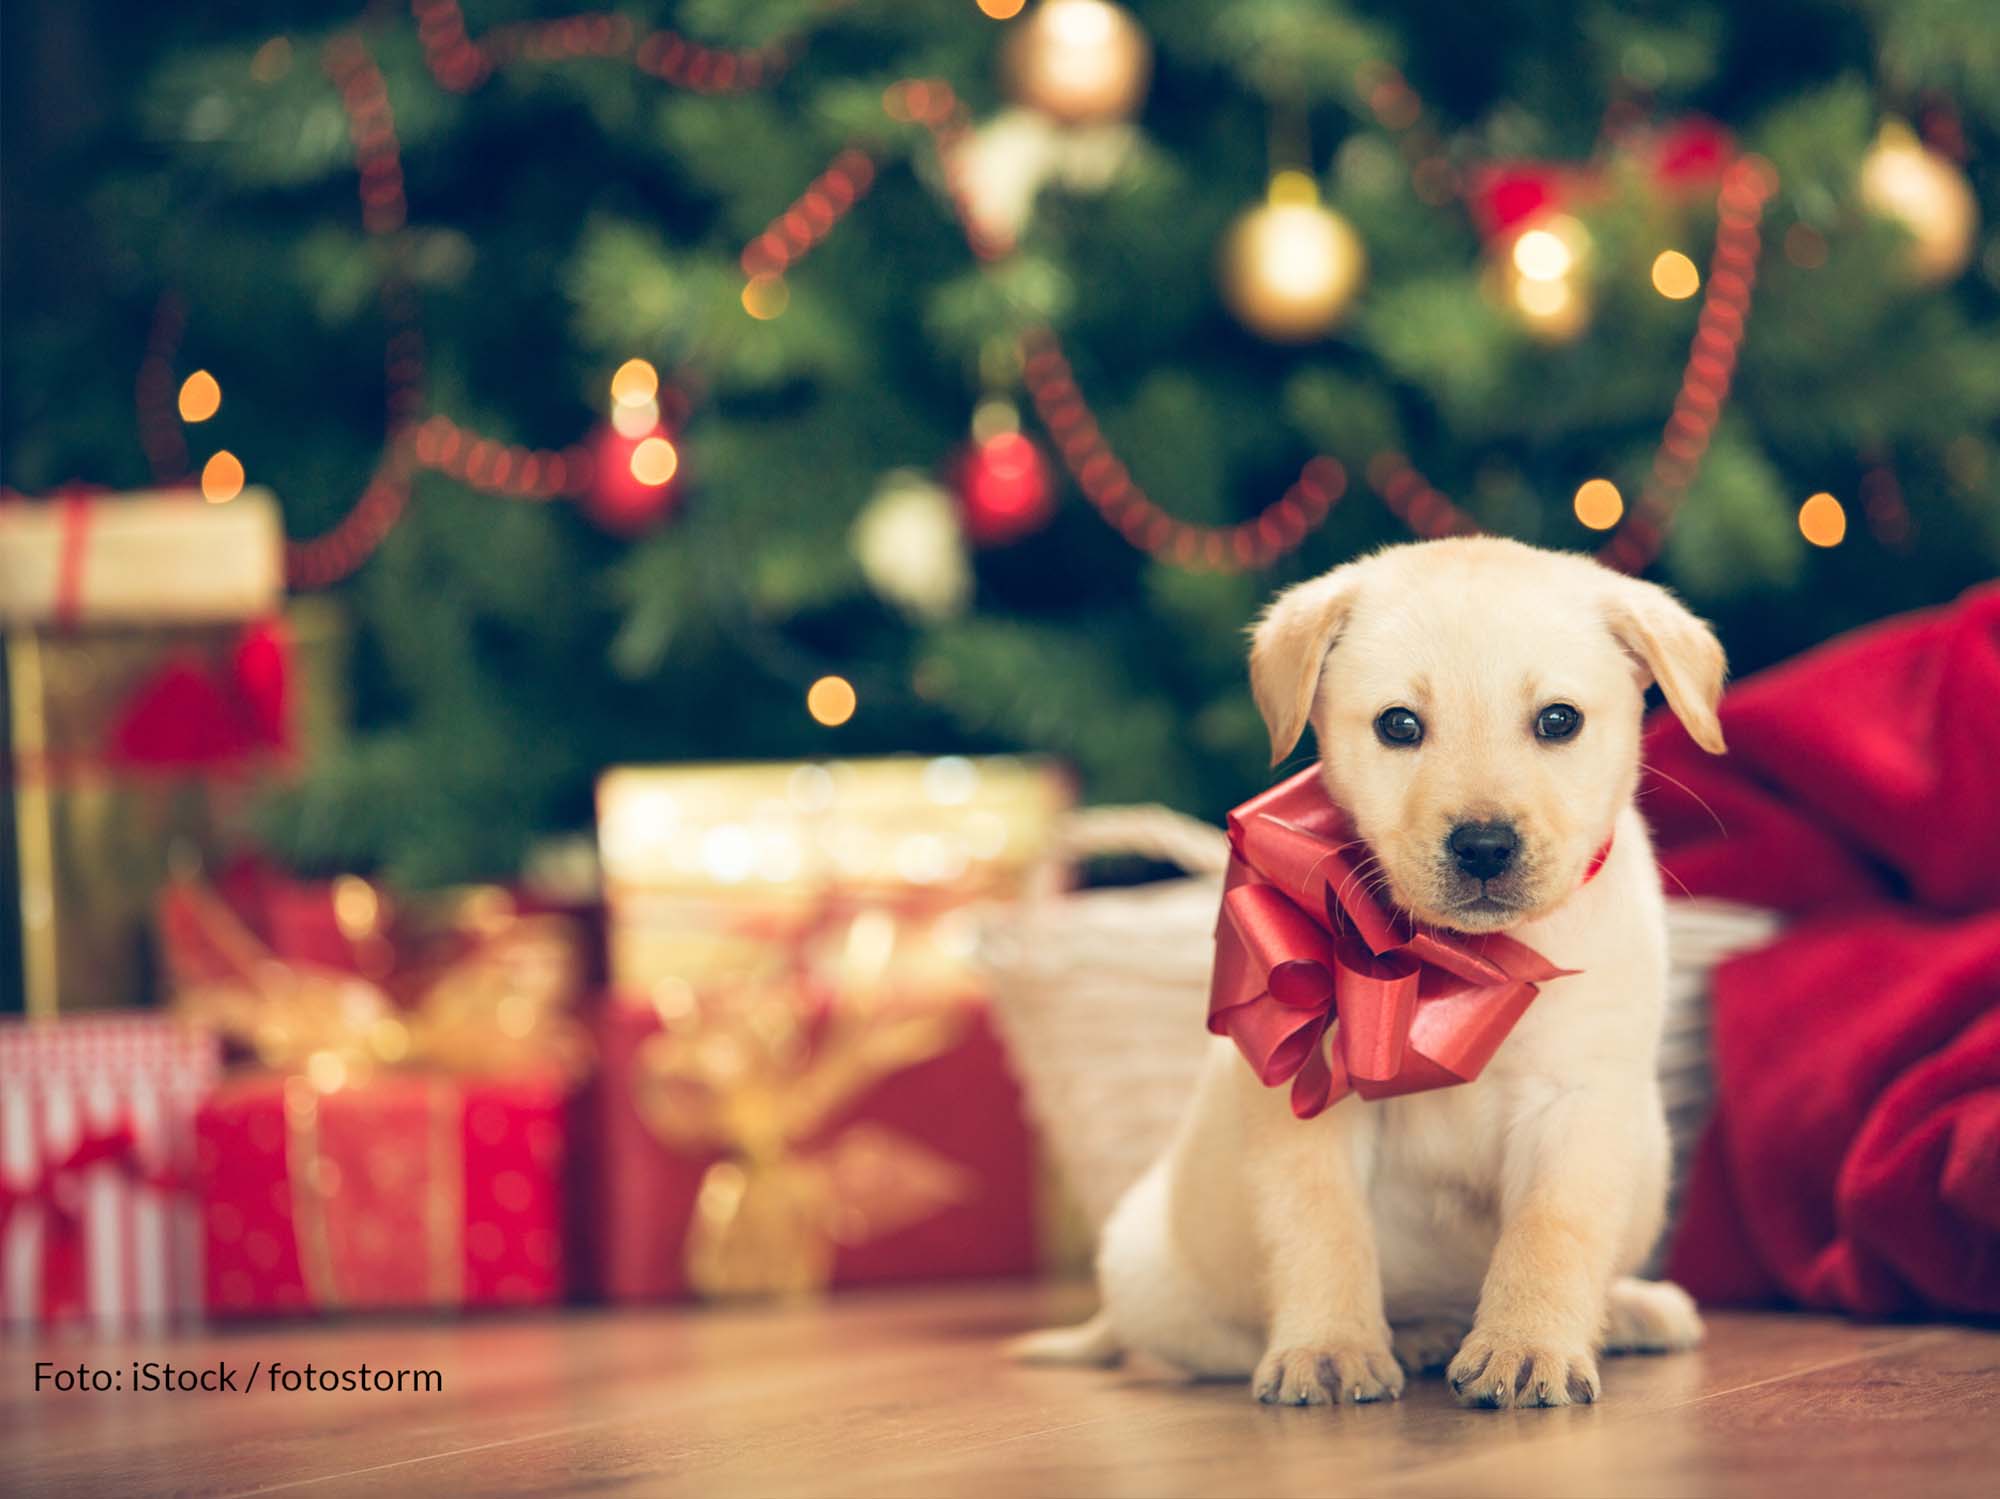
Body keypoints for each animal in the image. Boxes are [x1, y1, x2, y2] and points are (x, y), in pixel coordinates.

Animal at [1024, 535, 1728, 1407]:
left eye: (1559, 720)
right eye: (1399, 725)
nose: (1484, 846)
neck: (1462, 958)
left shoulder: (1578, 1102)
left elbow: (1550, 1232)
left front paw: (1527, 1342)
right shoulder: (1309, 1103)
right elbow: (1323, 1228)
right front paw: (1330, 1345)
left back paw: (1628, 1309)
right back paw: (1416, 1334)